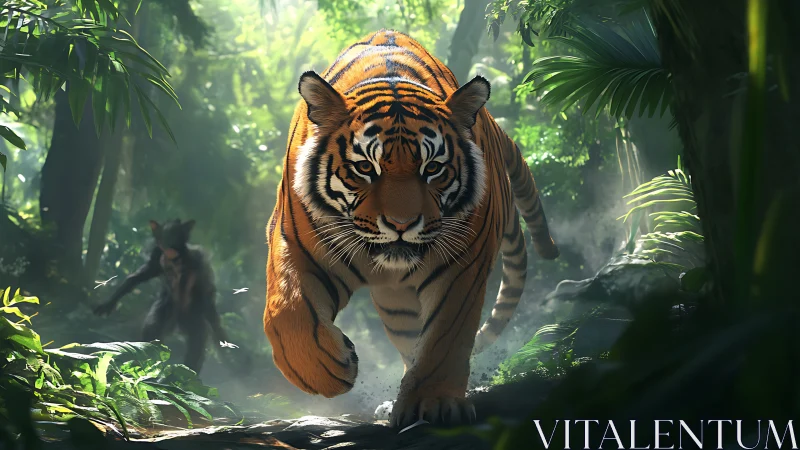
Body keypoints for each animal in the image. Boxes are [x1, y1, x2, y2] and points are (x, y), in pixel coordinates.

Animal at [263, 29, 559, 429]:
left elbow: (446, 337)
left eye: (432, 168)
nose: (401, 224)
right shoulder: (294, 241)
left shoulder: (463, 264)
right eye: (365, 168)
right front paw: (330, 368)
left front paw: (433, 404)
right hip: (396, 306)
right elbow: (287, 313)